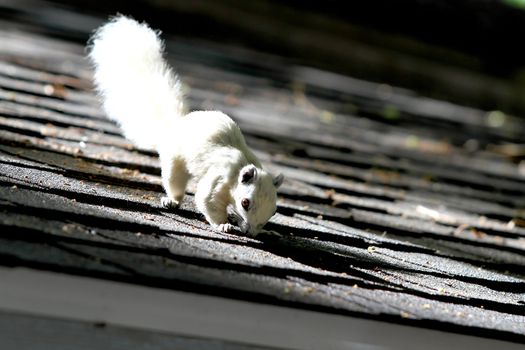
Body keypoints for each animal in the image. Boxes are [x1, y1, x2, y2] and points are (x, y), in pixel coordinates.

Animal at [88, 15, 282, 235]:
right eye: (245, 203)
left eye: (274, 211)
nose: (250, 232)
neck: (239, 169)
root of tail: (175, 126)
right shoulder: (218, 179)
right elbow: (207, 201)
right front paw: (223, 224)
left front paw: (264, 230)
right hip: (175, 162)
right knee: (175, 183)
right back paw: (172, 201)